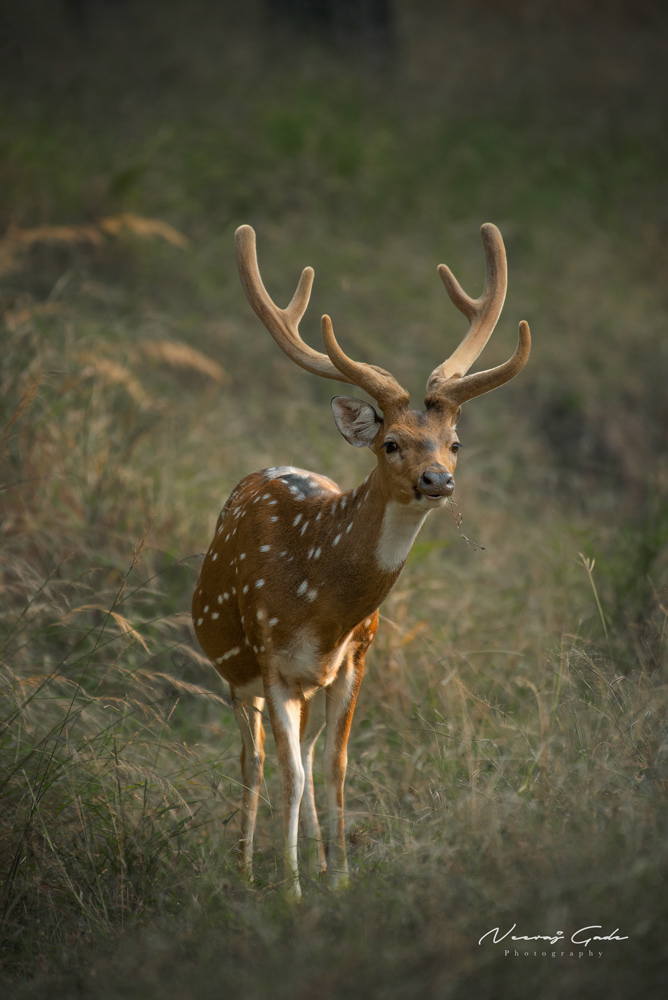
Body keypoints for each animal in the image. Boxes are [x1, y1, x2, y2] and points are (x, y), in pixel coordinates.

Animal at [192, 222, 530, 895]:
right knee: (254, 761)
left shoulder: (356, 659)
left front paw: (340, 880)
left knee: (303, 753)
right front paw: (291, 891)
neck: (319, 601)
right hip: (236, 673)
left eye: (454, 443)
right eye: (391, 443)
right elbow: (290, 774)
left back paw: (312, 861)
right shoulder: (270, 655)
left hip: (307, 686)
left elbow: (336, 766)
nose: (436, 480)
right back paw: (244, 869)